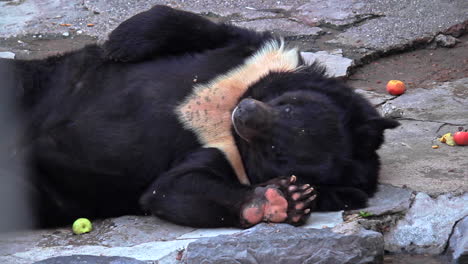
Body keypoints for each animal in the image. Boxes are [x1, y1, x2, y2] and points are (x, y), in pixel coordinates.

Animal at [0, 5, 398, 228]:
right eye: (289, 104)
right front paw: (117, 46)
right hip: (34, 86)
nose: (246, 112)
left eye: (278, 153)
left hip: (46, 188)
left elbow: (171, 188)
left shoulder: (225, 156)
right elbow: (180, 23)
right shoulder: (252, 55)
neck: (223, 112)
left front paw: (284, 199)